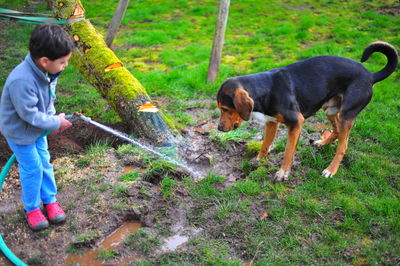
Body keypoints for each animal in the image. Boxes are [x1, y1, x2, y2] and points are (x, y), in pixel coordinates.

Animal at [217, 41, 398, 182]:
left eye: (225, 109)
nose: (218, 128)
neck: (265, 88)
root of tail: (370, 75)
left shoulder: (296, 122)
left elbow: (288, 152)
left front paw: (283, 173)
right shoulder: (271, 122)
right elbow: (265, 145)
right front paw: (258, 160)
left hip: (346, 115)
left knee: (343, 145)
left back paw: (331, 170)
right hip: (330, 110)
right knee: (337, 131)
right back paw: (323, 143)